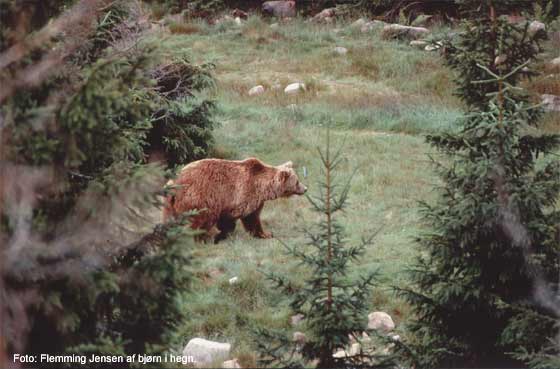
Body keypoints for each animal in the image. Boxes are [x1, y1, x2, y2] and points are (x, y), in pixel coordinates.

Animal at [164, 157, 306, 242]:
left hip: (169, 202)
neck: (263, 188)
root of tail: (177, 182)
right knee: (199, 220)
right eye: (297, 181)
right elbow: (249, 218)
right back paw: (200, 238)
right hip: (199, 198)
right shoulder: (242, 195)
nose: (305, 188)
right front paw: (266, 234)